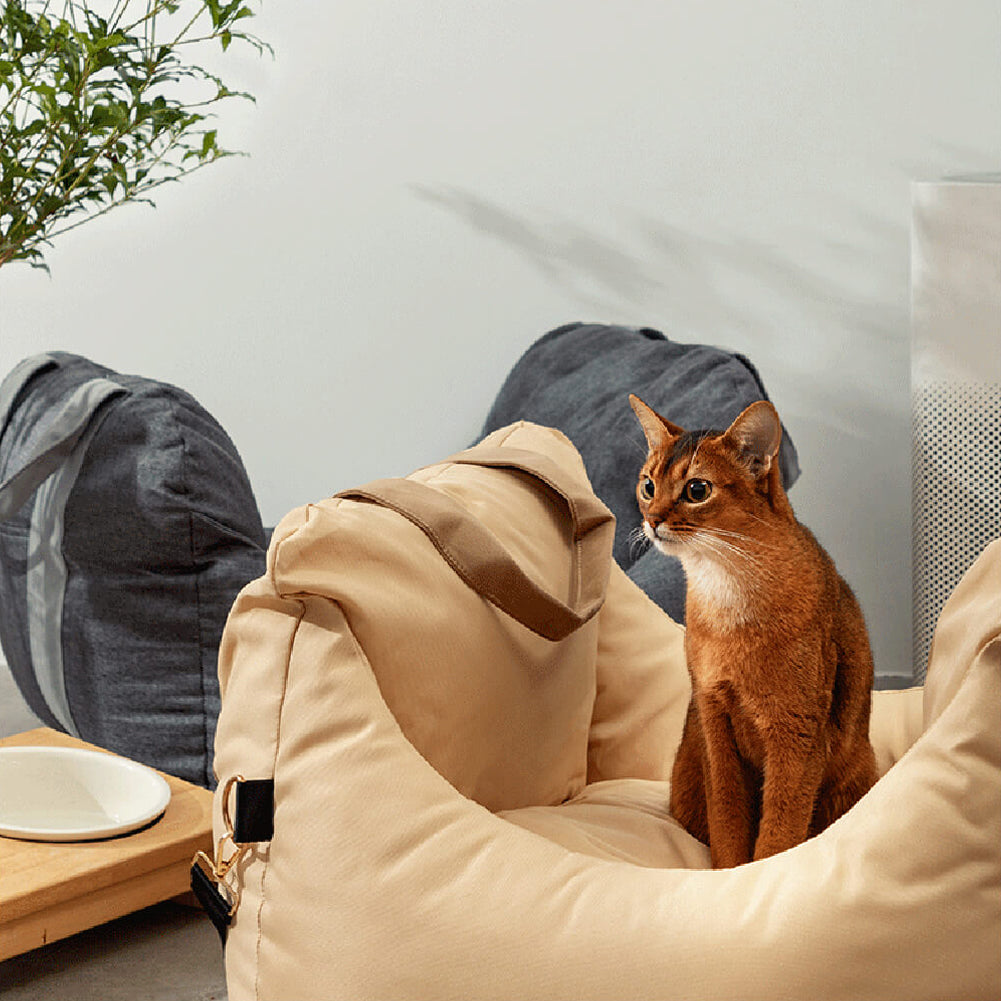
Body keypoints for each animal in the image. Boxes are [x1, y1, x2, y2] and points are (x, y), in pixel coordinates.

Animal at [628, 394, 880, 864]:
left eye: (697, 490)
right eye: (648, 485)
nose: (652, 520)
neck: (726, 597)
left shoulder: (796, 732)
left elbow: (780, 831)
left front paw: (762, 872)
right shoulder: (713, 719)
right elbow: (728, 819)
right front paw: (728, 873)